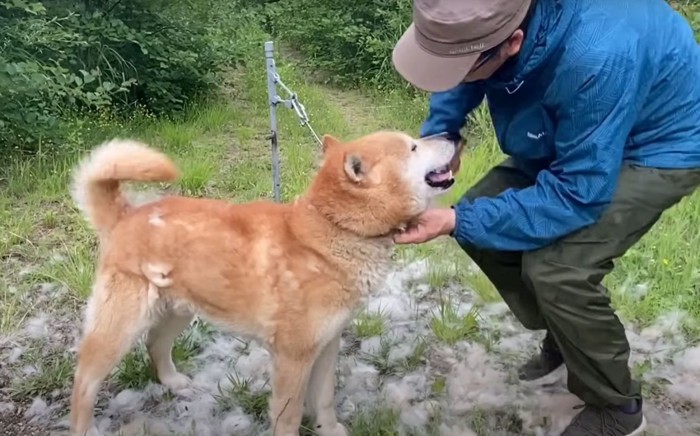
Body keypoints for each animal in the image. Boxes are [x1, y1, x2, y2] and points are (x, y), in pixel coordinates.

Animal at [68, 131, 460, 434]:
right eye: (413, 146)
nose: (455, 136)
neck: (332, 230)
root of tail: (126, 215)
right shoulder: (292, 359)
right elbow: (288, 418)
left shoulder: (326, 346)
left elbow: (325, 400)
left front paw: (329, 430)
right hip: (118, 330)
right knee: (84, 382)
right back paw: (85, 426)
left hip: (179, 311)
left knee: (155, 345)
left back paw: (174, 383)